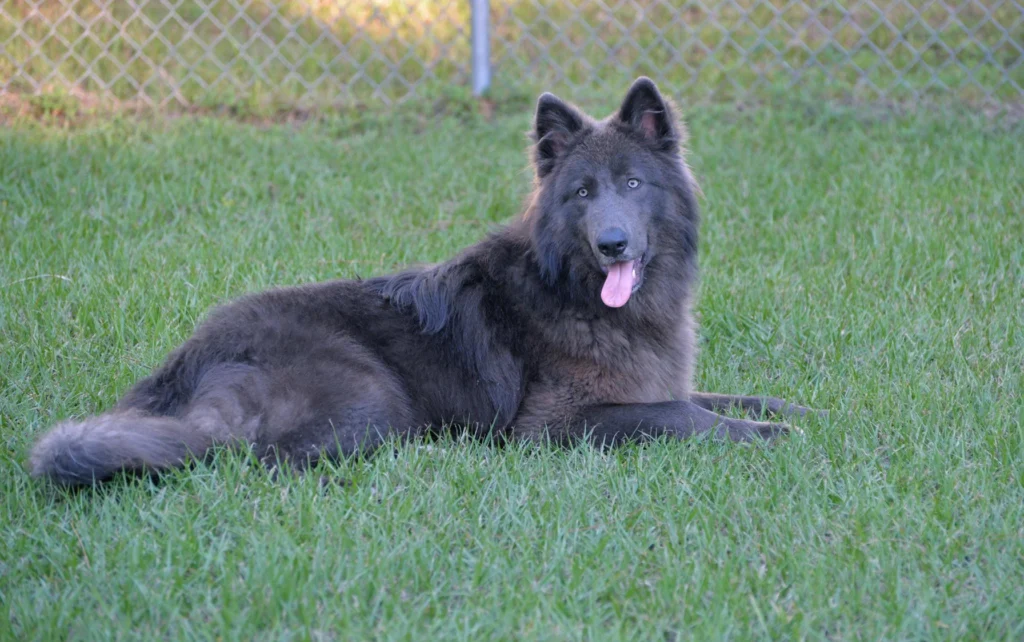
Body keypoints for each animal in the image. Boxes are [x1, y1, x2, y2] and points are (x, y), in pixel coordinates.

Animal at [28, 77, 815, 487]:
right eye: (582, 194)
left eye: (631, 184)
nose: (612, 242)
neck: (584, 295)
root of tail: (188, 360)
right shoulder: (558, 425)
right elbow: (683, 416)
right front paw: (768, 434)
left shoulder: (655, 379)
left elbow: (716, 394)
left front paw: (792, 408)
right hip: (371, 396)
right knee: (260, 460)